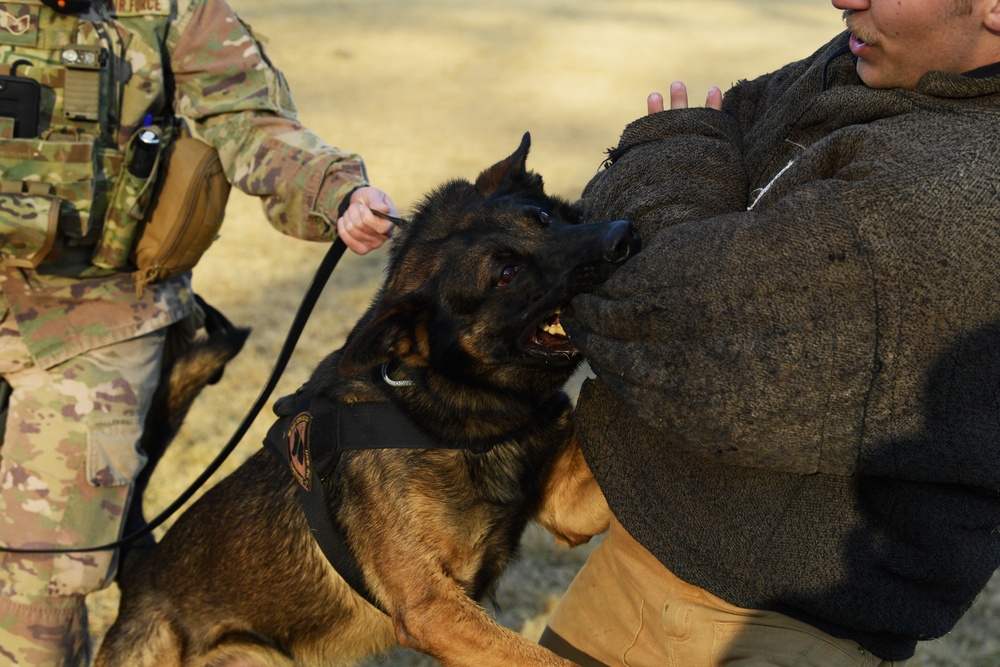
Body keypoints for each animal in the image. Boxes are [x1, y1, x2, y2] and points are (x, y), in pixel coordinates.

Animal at [99, 136, 632, 667]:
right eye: (505, 273)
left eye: (543, 219)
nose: (622, 237)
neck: (445, 408)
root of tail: (140, 571)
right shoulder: (433, 610)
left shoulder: (568, 509)